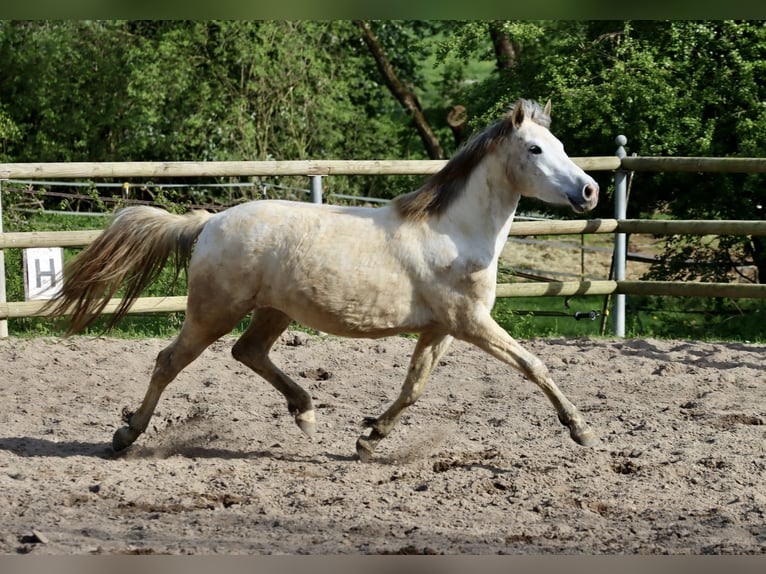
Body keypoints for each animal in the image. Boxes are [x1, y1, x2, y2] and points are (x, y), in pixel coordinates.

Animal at [45, 97, 604, 462]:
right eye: (535, 150)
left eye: (559, 144)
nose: (590, 191)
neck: (455, 232)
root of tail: (208, 222)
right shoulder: (470, 323)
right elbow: (534, 365)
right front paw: (582, 430)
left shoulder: (440, 328)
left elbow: (414, 387)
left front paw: (369, 439)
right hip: (213, 311)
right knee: (170, 362)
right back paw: (125, 436)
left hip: (273, 310)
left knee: (247, 352)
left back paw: (305, 411)